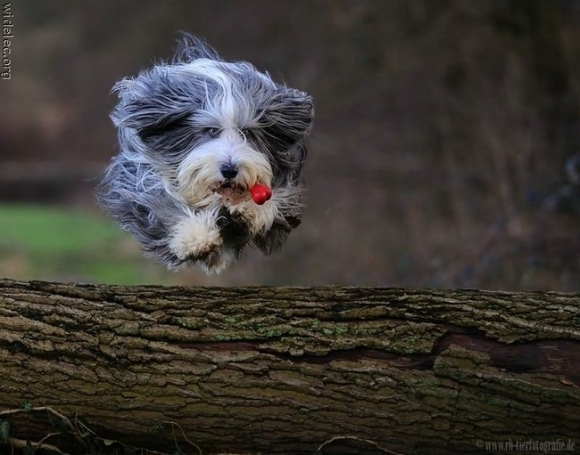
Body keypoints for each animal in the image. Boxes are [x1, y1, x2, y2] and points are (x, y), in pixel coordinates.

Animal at [96, 35, 312, 274]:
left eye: (247, 132)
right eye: (210, 130)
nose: (229, 170)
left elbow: (273, 200)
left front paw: (250, 210)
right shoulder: (140, 178)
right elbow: (162, 203)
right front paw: (196, 237)